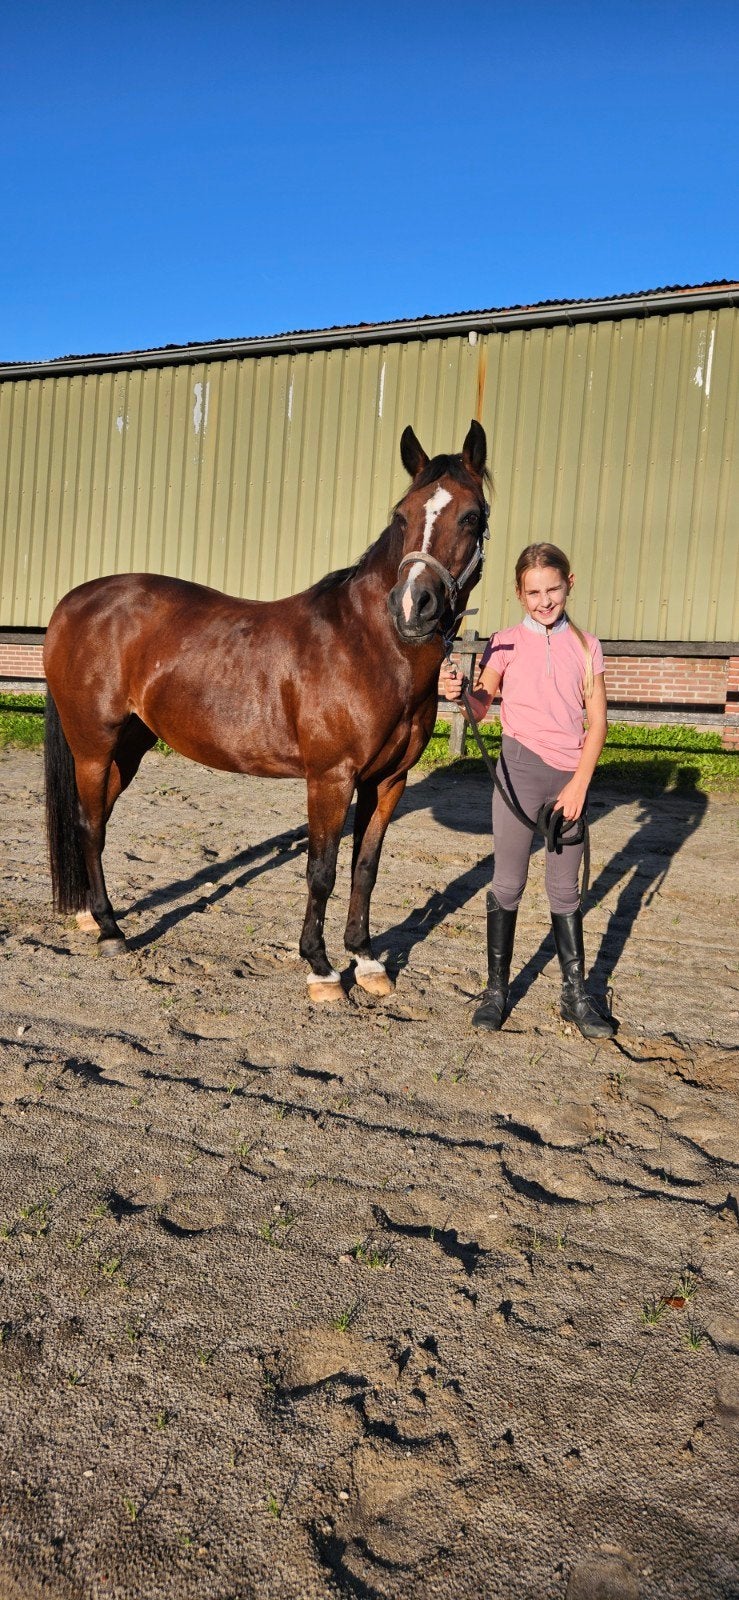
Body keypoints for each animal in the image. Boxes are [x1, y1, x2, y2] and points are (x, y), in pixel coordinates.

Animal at [43, 420, 490, 1002]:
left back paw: (90, 918)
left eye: (471, 515)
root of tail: (72, 604)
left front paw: (367, 961)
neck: (370, 645)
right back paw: (111, 931)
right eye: (402, 515)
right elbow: (322, 870)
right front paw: (321, 969)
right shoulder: (331, 778)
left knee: (94, 822)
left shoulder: (388, 780)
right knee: (91, 825)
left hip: (129, 747)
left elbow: (365, 868)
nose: (414, 606)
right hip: (94, 746)